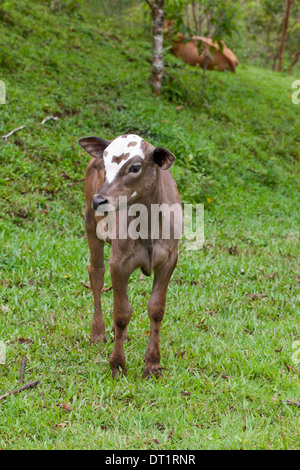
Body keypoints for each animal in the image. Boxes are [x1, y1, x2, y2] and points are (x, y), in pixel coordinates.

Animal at [78, 133, 183, 378]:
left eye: (135, 167)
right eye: (104, 164)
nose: (99, 200)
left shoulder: (169, 259)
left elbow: (156, 309)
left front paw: (152, 364)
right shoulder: (118, 262)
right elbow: (121, 313)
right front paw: (117, 364)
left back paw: (122, 336)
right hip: (90, 224)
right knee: (96, 274)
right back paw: (98, 332)